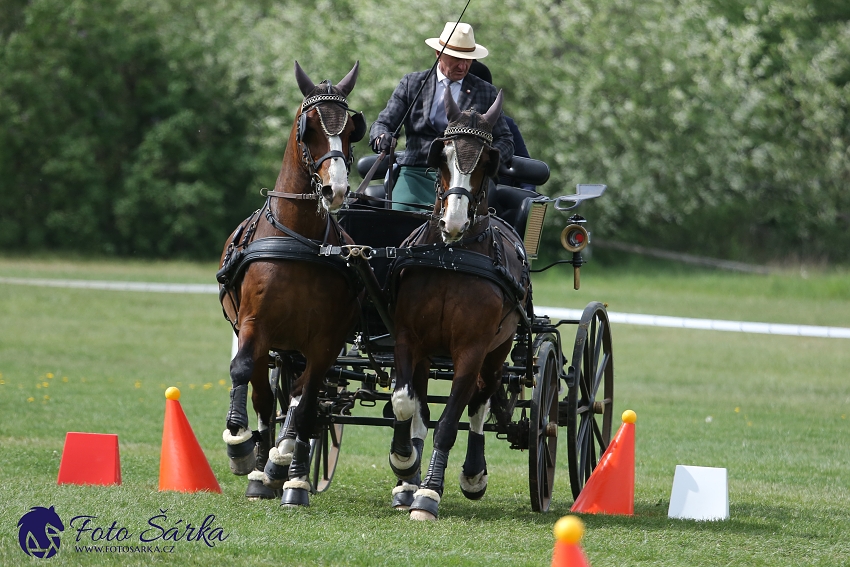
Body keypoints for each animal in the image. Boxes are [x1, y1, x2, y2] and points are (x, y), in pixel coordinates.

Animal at [215, 62, 364, 506]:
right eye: (309, 127)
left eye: (351, 129)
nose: (336, 189)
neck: (300, 240)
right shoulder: (255, 326)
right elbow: (244, 373)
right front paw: (241, 445)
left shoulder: (326, 342)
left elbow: (306, 401)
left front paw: (286, 465)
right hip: (270, 341)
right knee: (265, 394)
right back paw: (259, 463)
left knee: (304, 402)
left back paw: (287, 470)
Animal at [384, 91, 528, 520]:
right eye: (443, 155)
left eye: (485, 162)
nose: (454, 222)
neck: (450, 258)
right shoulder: (408, 339)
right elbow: (405, 404)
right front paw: (404, 464)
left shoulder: (472, 349)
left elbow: (450, 422)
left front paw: (429, 494)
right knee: (422, 410)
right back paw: (408, 480)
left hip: (498, 349)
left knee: (480, 402)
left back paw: (472, 475)